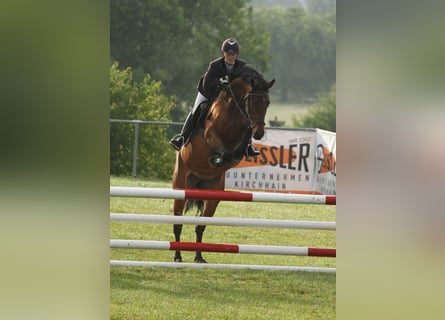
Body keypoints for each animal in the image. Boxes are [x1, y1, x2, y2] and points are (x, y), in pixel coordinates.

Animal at [171, 65, 272, 262]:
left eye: (268, 103)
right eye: (254, 101)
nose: (259, 133)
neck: (235, 110)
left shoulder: (242, 131)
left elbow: (237, 149)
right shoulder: (210, 134)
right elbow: (222, 150)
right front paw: (217, 158)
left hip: (213, 197)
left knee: (200, 226)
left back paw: (199, 257)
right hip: (181, 186)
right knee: (177, 223)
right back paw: (178, 256)